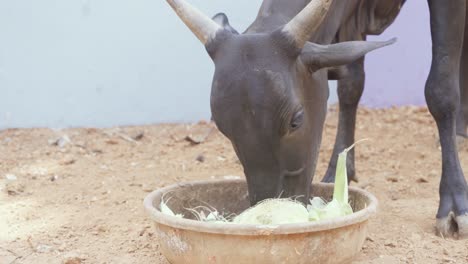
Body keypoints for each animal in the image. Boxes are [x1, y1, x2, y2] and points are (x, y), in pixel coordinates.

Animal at [165, 0, 468, 238]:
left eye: (296, 120)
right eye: (223, 127)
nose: (269, 204)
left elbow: (440, 90)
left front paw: (454, 204)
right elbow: (350, 85)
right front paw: (338, 170)